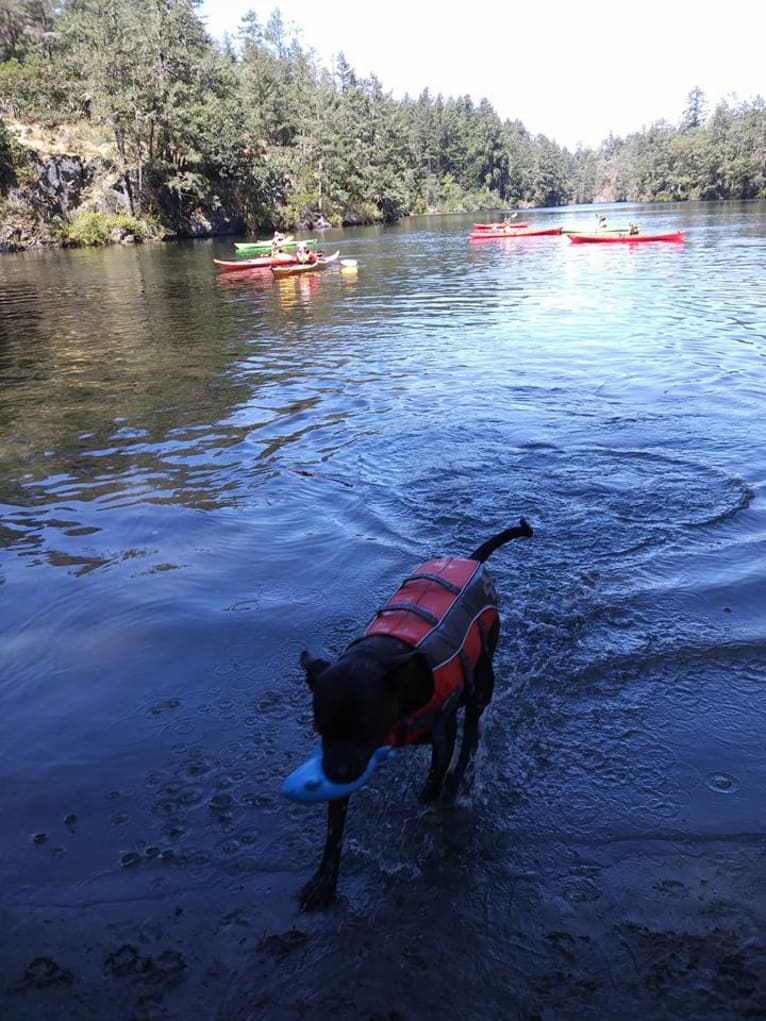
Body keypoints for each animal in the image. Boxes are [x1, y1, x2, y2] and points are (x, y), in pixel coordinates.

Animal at [296, 518, 535, 910]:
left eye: (366, 726)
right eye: (320, 727)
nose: (335, 773)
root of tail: (471, 561)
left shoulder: (441, 734)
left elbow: (434, 780)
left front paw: (432, 804)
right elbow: (335, 827)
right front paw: (323, 881)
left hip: (482, 677)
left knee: (472, 730)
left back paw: (460, 777)